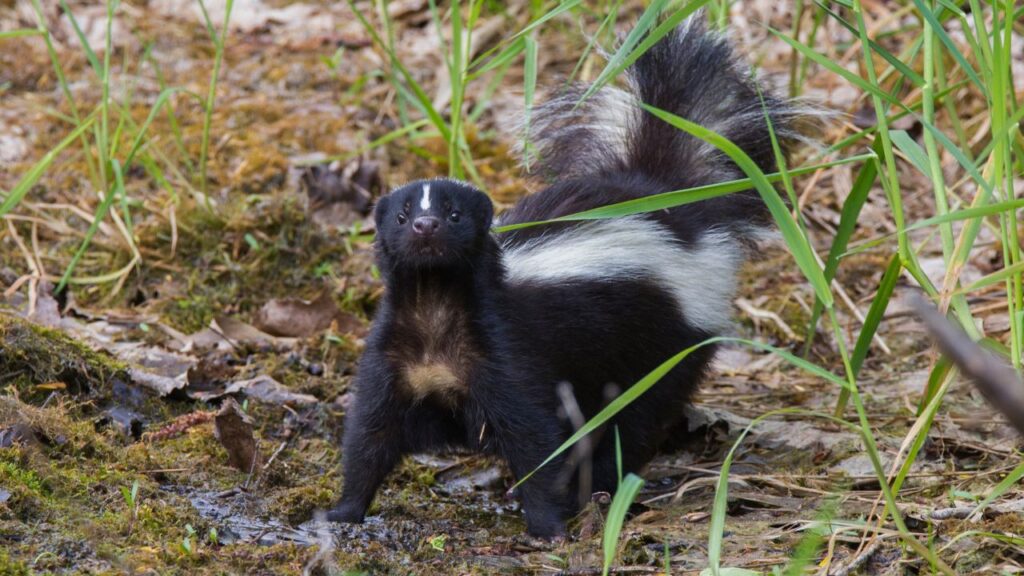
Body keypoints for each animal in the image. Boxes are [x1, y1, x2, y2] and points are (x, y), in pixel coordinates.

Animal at [331, 19, 802, 537]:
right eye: (401, 216)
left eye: (454, 215)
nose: (425, 226)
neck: (435, 303)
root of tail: (660, 195)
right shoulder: (393, 362)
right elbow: (370, 435)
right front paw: (342, 512)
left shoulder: (507, 359)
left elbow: (534, 439)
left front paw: (546, 525)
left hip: (662, 342)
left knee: (632, 419)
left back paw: (601, 486)